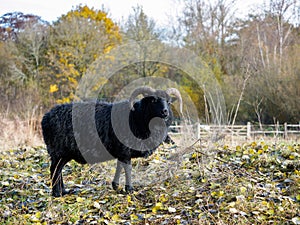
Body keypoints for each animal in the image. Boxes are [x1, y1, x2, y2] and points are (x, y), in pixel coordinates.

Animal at [41, 86, 182, 197]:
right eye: (153, 100)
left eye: (169, 102)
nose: (165, 112)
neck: (136, 118)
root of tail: (45, 118)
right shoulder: (124, 150)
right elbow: (128, 169)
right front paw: (129, 189)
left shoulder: (121, 152)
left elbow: (119, 167)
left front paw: (116, 186)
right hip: (58, 150)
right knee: (55, 169)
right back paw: (57, 193)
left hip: (64, 153)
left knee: (58, 170)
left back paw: (64, 191)